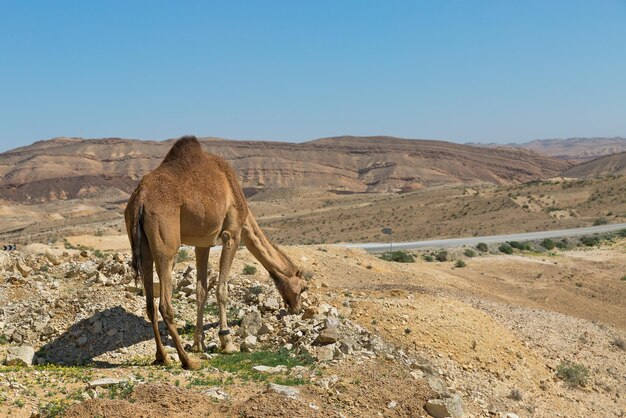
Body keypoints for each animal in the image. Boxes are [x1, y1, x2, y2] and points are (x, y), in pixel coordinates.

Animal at [123, 136, 304, 368]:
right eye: (302, 288)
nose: (297, 309)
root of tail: (140, 200)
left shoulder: (203, 242)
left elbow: (201, 291)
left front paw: (199, 343)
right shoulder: (232, 233)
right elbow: (222, 290)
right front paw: (227, 342)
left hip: (141, 245)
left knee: (149, 303)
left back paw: (162, 356)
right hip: (166, 244)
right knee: (164, 303)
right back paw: (187, 361)